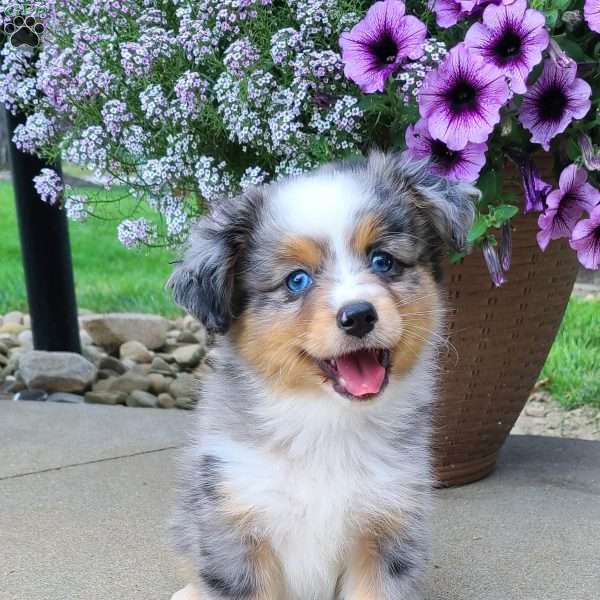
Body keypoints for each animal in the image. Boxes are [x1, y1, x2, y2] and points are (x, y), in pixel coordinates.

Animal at [166, 151, 476, 600]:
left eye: (383, 260)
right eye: (297, 280)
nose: (359, 315)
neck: (326, 421)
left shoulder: (386, 529)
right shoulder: (237, 527)